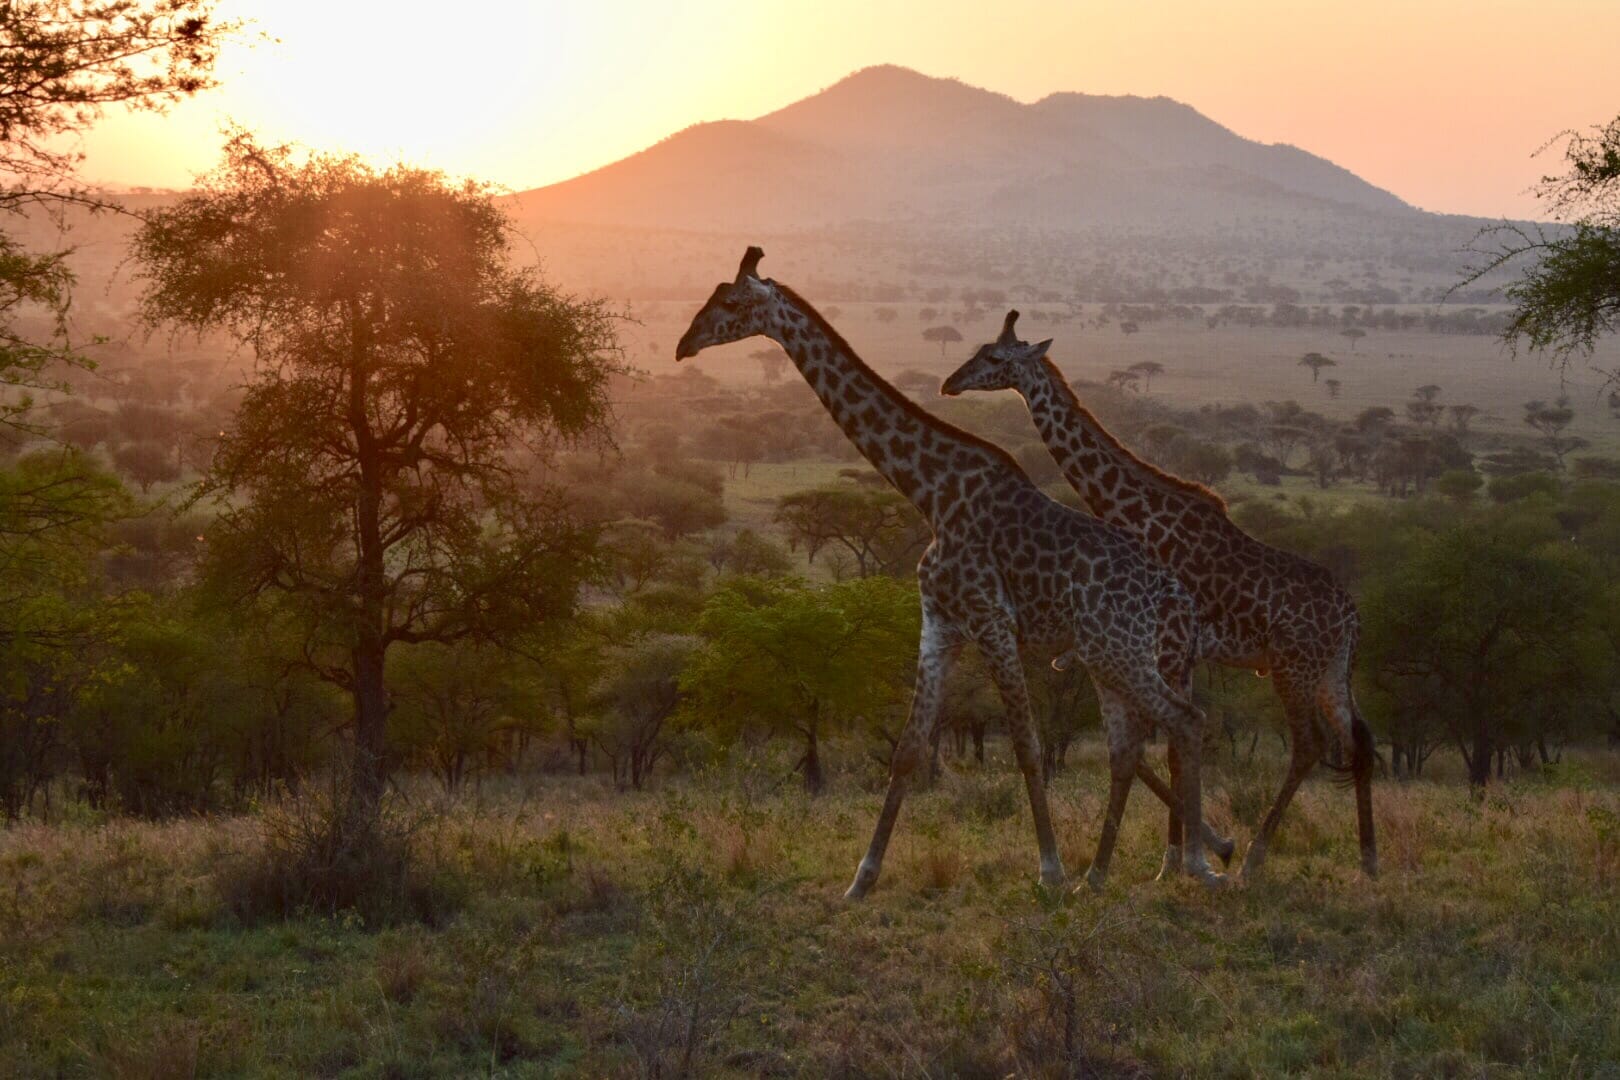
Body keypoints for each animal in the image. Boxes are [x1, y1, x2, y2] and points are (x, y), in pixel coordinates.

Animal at [677, 249, 1226, 897]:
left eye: (734, 303)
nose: (684, 344)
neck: (930, 492)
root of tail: (1174, 593)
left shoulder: (990, 621)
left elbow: (1026, 745)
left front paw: (1049, 871)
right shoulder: (939, 623)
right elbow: (909, 749)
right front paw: (861, 880)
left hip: (1120, 652)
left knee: (1185, 721)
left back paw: (1195, 864)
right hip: (1107, 656)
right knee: (1137, 742)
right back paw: (1117, 873)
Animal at [942, 312, 1377, 880]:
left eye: (994, 358)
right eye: (977, 350)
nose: (950, 383)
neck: (1142, 516)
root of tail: (1351, 616)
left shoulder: (1170, 643)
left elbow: (1169, 744)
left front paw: (1180, 860)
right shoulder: (1177, 651)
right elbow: (1169, 745)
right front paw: (1181, 857)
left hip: (1292, 665)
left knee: (1310, 745)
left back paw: (1255, 859)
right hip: (1331, 669)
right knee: (1358, 737)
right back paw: (1369, 861)